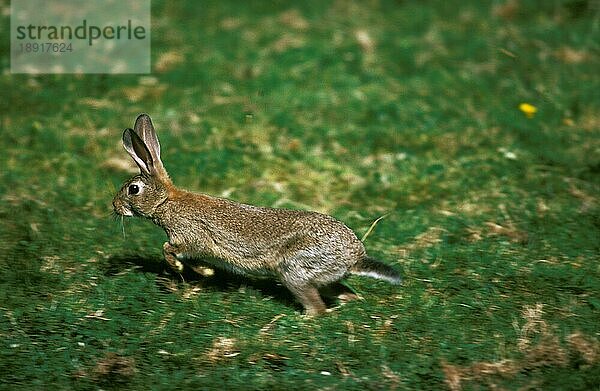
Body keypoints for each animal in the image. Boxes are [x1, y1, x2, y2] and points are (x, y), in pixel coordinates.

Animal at [113, 113, 404, 316]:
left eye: (133, 189)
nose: (114, 206)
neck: (165, 202)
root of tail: (355, 258)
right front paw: (205, 271)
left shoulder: (190, 237)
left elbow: (169, 249)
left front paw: (184, 269)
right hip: (323, 277)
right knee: (345, 295)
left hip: (295, 270)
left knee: (316, 306)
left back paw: (304, 320)